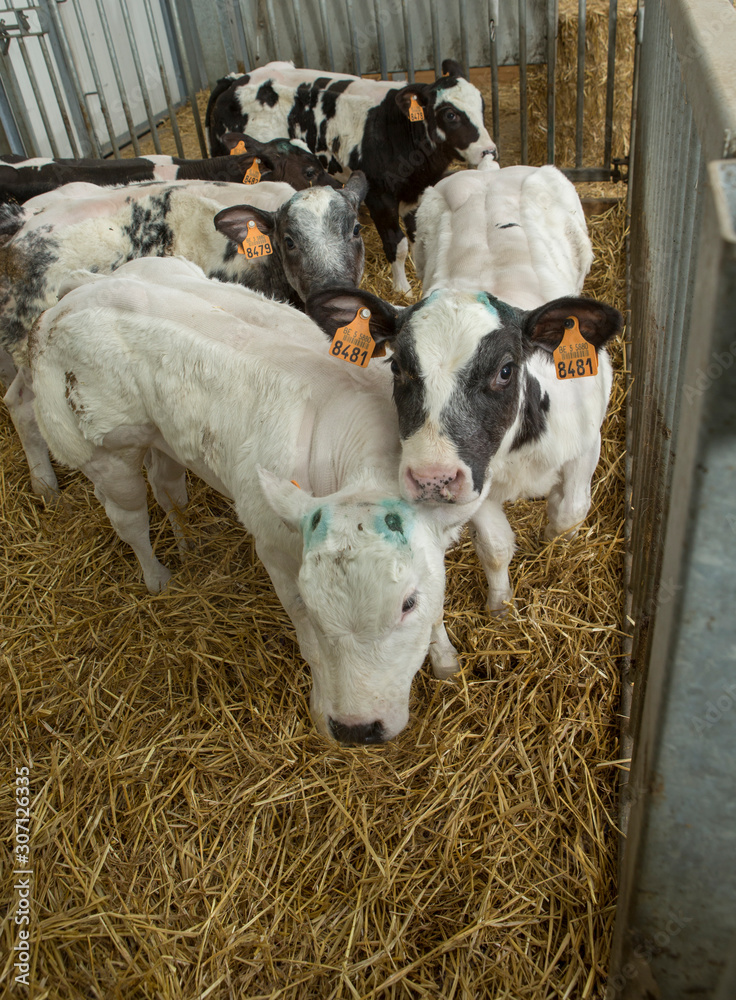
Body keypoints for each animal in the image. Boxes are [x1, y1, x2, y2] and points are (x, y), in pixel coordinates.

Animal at [1, 172, 368, 498]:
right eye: (289, 241)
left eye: (356, 229)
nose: (334, 293)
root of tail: (21, 230)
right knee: (22, 405)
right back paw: (45, 485)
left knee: (13, 398)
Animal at [28, 256, 481, 743]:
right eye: (313, 606)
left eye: (408, 603)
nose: (357, 729)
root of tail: (79, 289)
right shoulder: (276, 550)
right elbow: (307, 638)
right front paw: (319, 711)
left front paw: (445, 658)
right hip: (102, 452)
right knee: (130, 519)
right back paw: (158, 577)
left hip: (160, 434)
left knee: (167, 486)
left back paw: (188, 544)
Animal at [205, 59, 497, 293]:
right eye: (450, 114)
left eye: (482, 105)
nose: (489, 150)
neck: (394, 129)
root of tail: (235, 79)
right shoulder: (380, 195)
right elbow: (397, 244)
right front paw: (402, 288)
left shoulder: (414, 192)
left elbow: (416, 237)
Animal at [307, 165, 623, 613]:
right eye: (398, 366)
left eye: (505, 370)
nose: (432, 478)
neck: (517, 452)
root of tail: (495, 171)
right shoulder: (474, 487)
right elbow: (495, 547)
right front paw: (500, 607)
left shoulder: (586, 445)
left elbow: (569, 513)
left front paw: (555, 546)